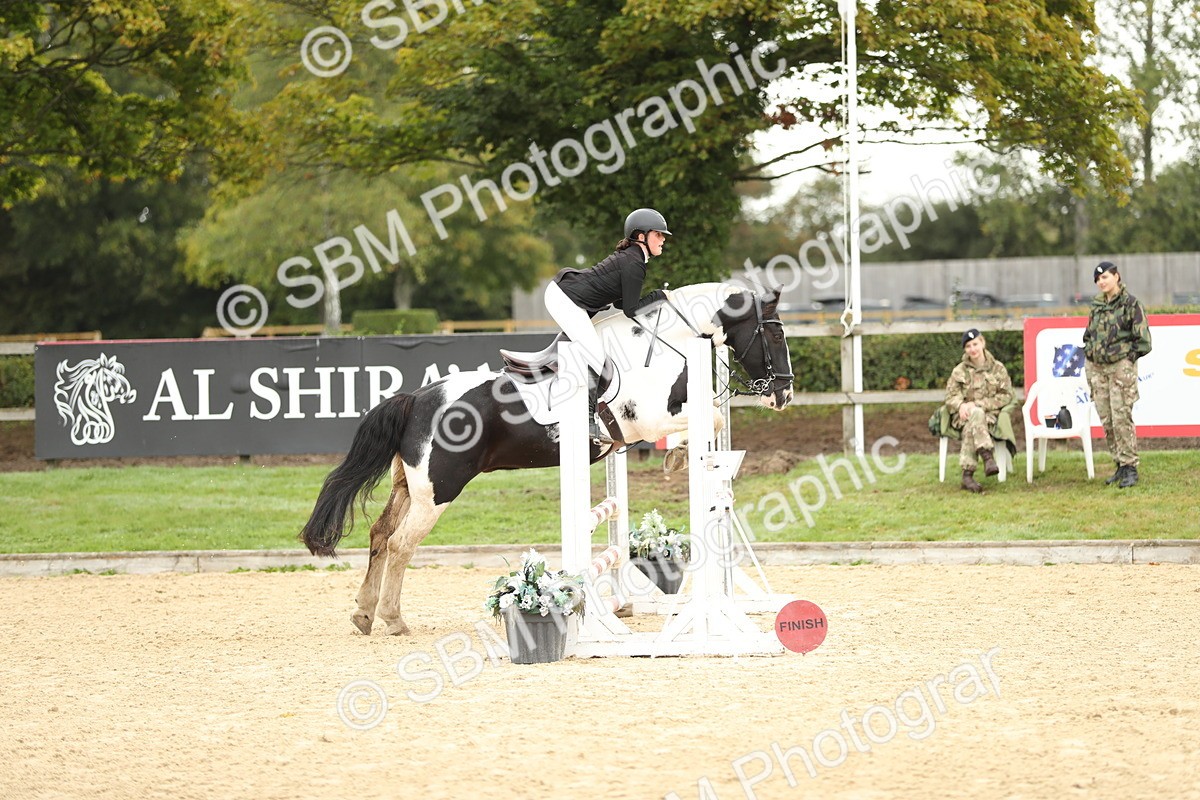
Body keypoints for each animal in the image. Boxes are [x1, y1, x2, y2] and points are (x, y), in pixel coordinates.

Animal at [300, 282, 794, 635]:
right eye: (775, 331)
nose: (784, 395)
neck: (661, 341)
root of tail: (415, 398)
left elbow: (709, 420)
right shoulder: (649, 420)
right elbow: (710, 417)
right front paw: (679, 459)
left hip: (410, 486)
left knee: (381, 535)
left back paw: (364, 614)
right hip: (436, 493)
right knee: (402, 544)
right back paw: (393, 619)